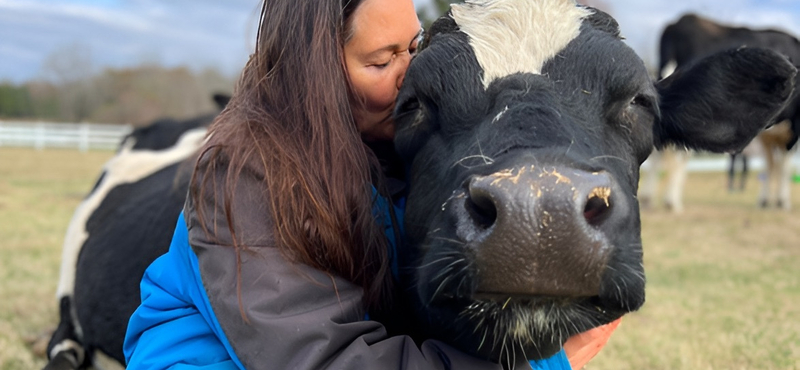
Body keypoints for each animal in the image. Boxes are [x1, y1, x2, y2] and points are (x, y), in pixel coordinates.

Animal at [644, 13, 800, 211]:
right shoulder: (794, 125)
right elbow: (783, 164)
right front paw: (782, 201)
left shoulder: (769, 136)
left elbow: (770, 164)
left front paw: (765, 200)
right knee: (678, 153)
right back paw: (672, 201)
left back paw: (649, 199)